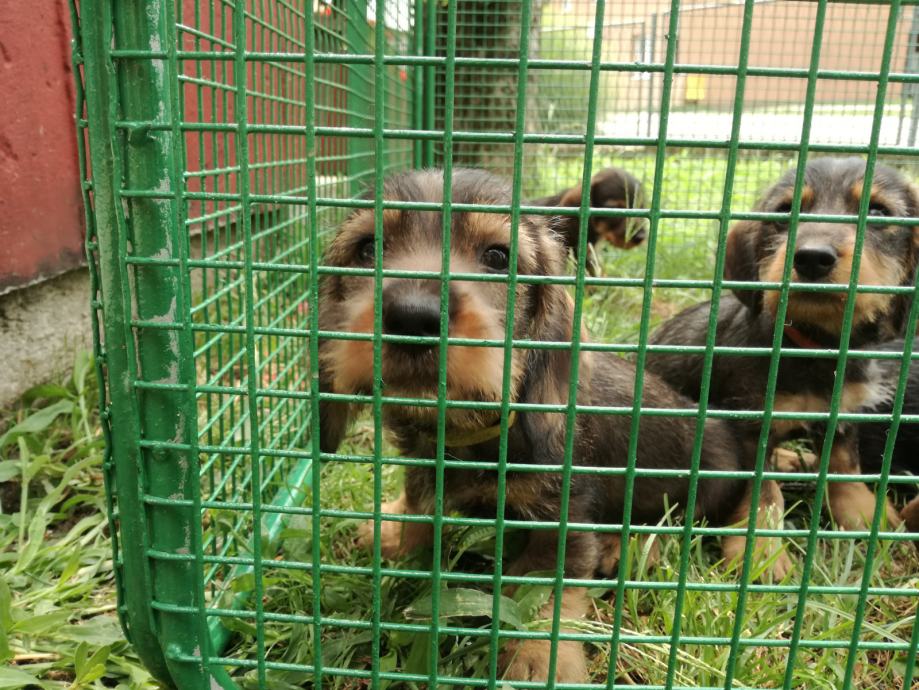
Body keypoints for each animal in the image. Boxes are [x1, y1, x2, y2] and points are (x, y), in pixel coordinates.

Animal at [316, 167, 776, 684]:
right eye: (368, 248)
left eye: (498, 257)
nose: (412, 317)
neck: (473, 428)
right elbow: (419, 500)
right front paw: (397, 530)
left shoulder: (562, 523)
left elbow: (541, 593)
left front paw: (537, 657)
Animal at [648, 159, 919, 536]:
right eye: (783, 211)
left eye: (879, 211)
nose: (812, 258)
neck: (814, 349)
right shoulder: (749, 432)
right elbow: (763, 498)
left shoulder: (842, 421)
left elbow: (847, 477)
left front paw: (873, 523)